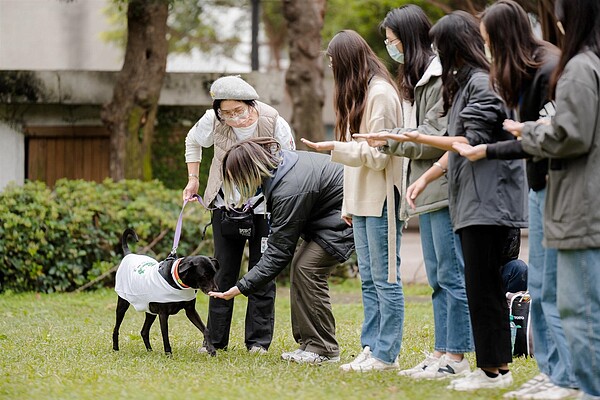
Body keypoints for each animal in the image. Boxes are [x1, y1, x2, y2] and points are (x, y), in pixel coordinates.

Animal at [112, 228, 218, 356]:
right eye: (204, 275)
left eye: (214, 274)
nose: (216, 290)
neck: (176, 280)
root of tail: (129, 255)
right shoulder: (163, 314)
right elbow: (165, 335)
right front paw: (168, 354)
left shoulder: (190, 311)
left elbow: (205, 330)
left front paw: (211, 349)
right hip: (122, 305)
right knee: (116, 328)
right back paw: (115, 348)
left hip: (150, 311)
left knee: (144, 331)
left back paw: (150, 351)